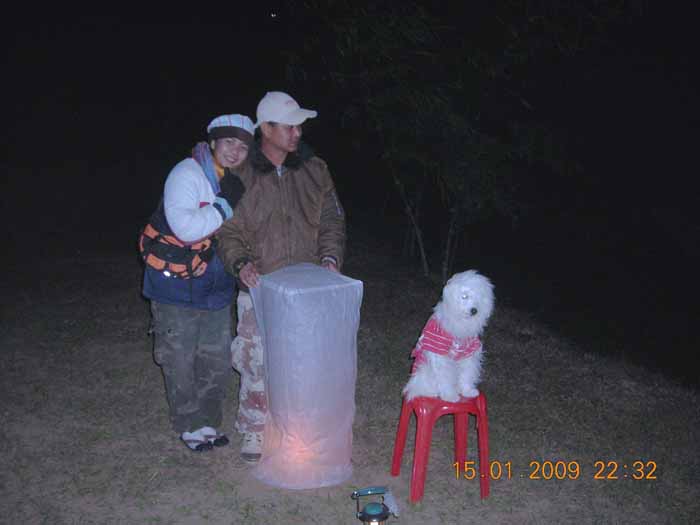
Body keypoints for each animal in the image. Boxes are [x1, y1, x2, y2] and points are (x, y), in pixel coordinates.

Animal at [403, 270, 494, 402]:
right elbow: (445, 377)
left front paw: (468, 391)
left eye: (480, 297)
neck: (461, 321)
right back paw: (432, 393)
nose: (474, 310)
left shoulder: (468, 353)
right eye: (464, 296)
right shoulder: (440, 355)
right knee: (419, 388)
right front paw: (450, 396)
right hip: (424, 369)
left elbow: (467, 373)